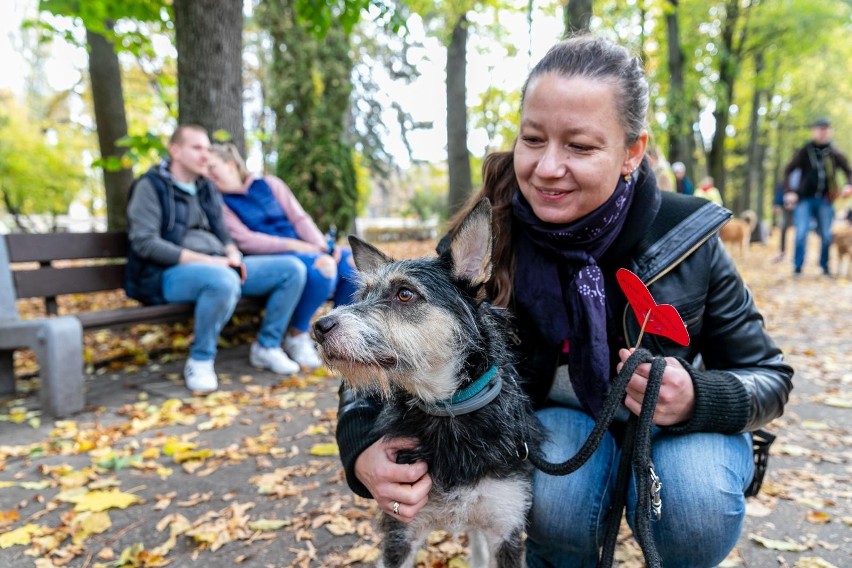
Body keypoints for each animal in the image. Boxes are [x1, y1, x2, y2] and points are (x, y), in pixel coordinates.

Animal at [312, 197, 540, 564]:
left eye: (405, 294)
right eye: (363, 295)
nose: (320, 327)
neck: (449, 410)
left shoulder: (507, 532)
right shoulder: (400, 535)